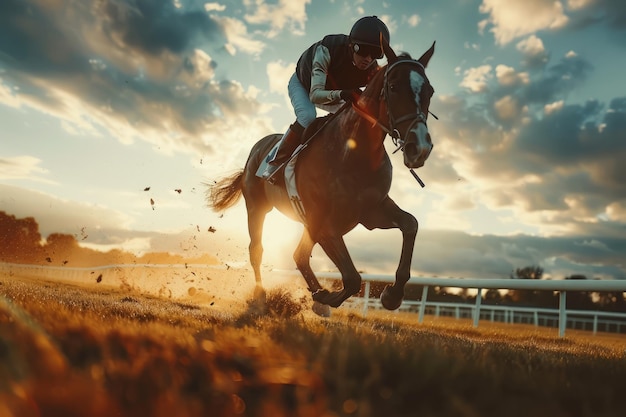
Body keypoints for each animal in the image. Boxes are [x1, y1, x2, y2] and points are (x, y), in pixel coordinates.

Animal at [207, 39, 432, 316]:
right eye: (393, 87)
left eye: (430, 91)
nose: (419, 147)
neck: (352, 154)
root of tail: (256, 150)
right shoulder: (325, 222)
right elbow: (352, 278)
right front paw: (326, 297)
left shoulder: (371, 212)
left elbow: (411, 224)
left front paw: (392, 295)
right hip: (258, 208)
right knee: (258, 251)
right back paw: (262, 298)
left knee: (299, 255)